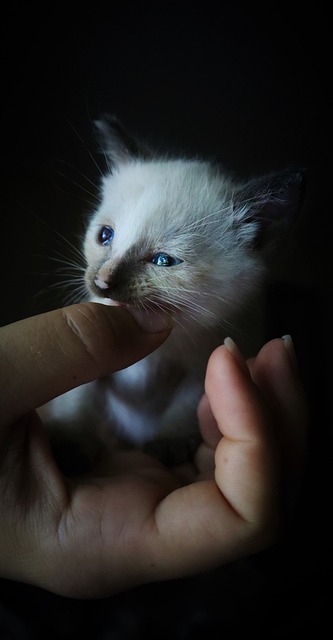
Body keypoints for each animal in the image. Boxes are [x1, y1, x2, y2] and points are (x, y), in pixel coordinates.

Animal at [38, 115, 304, 464]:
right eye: (105, 236)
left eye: (163, 260)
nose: (102, 282)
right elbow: (77, 394)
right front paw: (70, 441)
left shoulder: (206, 363)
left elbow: (186, 404)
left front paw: (169, 443)